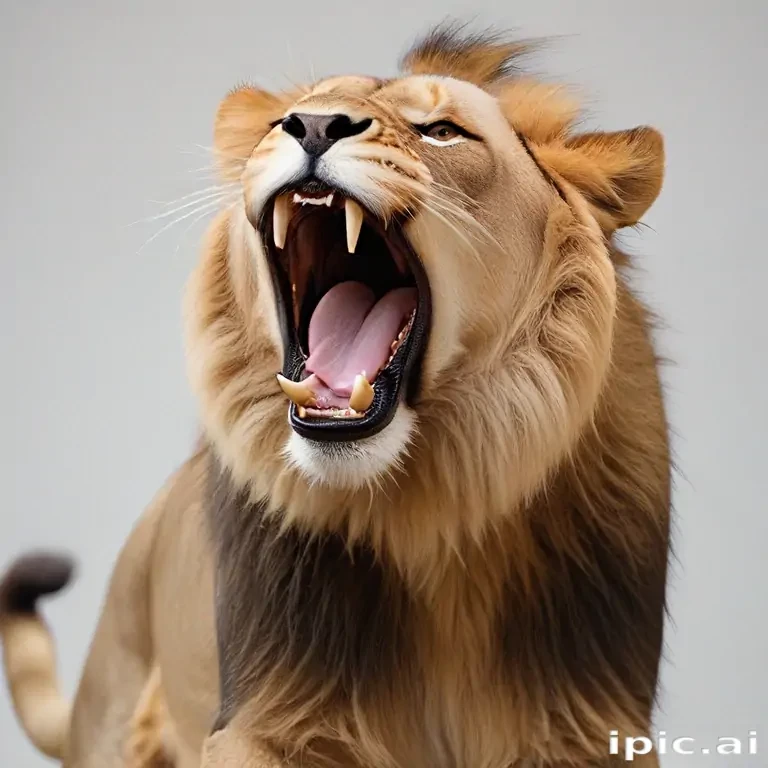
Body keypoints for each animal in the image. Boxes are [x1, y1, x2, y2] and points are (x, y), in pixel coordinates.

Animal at [1, 23, 670, 768]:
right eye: (282, 120)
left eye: (442, 131)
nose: (315, 125)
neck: (430, 514)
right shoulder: (264, 719)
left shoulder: (587, 724)